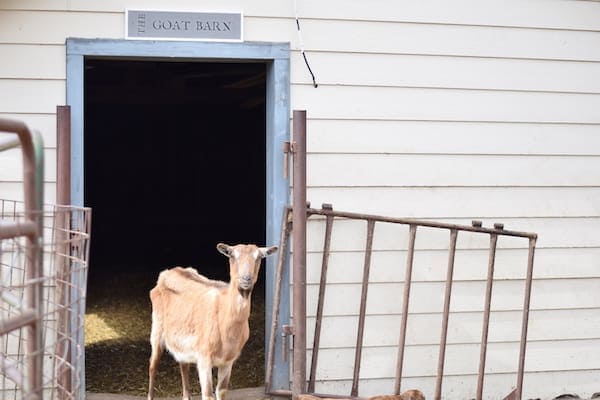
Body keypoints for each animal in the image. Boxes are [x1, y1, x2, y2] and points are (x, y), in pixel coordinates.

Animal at [146, 241, 278, 400]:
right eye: (232, 256)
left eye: (258, 257)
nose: (246, 279)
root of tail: (167, 273)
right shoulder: (204, 358)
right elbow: (208, 394)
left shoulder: (228, 361)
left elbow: (221, 391)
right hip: (156, 330)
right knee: (152, 365)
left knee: (183, 365)